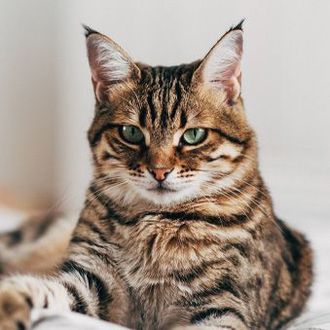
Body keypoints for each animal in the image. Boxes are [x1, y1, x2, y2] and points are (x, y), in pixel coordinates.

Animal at [0, 21, 312, 328]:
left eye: (193, 135)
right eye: (131, 133)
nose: (159, 171)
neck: (157, 224)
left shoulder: (224, 306)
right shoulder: (88, 276)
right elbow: (41, 287)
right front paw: (9, 303)